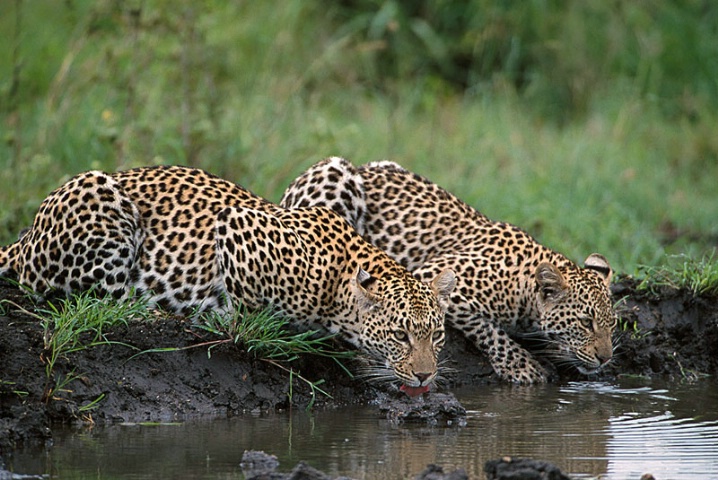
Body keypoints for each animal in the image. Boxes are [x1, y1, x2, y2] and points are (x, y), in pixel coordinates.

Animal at [1, 165, 456, 394]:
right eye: (400, 335)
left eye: (436, 335)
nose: (425, 376)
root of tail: (26, 236)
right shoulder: (236, 225)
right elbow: (244, 308)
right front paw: (234, 322)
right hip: (98, 196)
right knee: (94, 300)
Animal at [282, 158, 620, 386]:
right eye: (586, 322)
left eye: (612, 324)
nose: (605, 358)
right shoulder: (437, 277)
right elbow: (488, 329)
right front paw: (521, 366)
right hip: (335, 173)